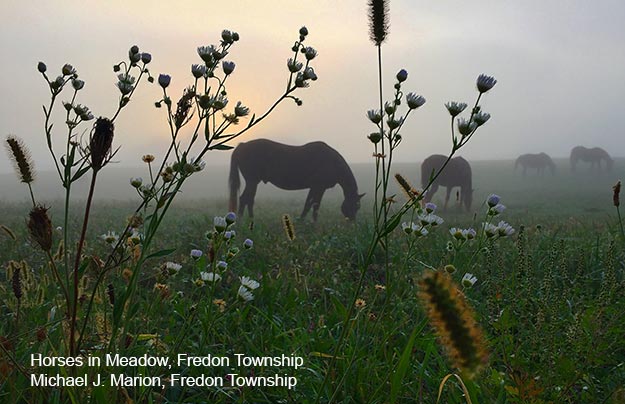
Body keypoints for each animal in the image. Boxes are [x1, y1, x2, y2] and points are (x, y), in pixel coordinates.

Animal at [227, 139, 364, 221]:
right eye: (355, 205)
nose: (352, 221)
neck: (332, 162)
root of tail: (242, 145)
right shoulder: (319, 187)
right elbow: (314, 205)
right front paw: (312, 223)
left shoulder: (315, 187)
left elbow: (308, 204)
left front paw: (303, 220)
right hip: (252, 181)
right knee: (244, 199)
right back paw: (241, 221)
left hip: (253, 182)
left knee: (249, 200)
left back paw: (251, 220)